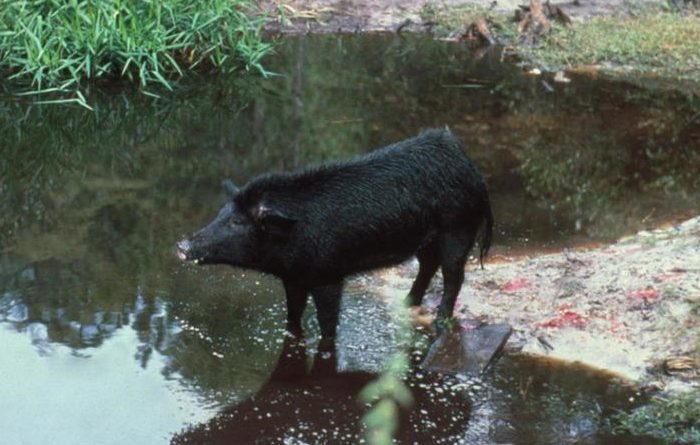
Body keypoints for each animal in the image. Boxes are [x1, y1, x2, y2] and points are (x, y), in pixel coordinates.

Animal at [177, 129, 493, 341]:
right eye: (221, 213)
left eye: (237, 223)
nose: (181, 244)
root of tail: (471, 167)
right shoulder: (294, 278)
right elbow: (293, 313)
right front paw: (293, 333)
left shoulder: (328, 275)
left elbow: (328, 320)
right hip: (426, 239)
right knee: (428, 265)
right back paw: (406, 303)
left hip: (458, 228)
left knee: (453, 275)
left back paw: (441, 322)